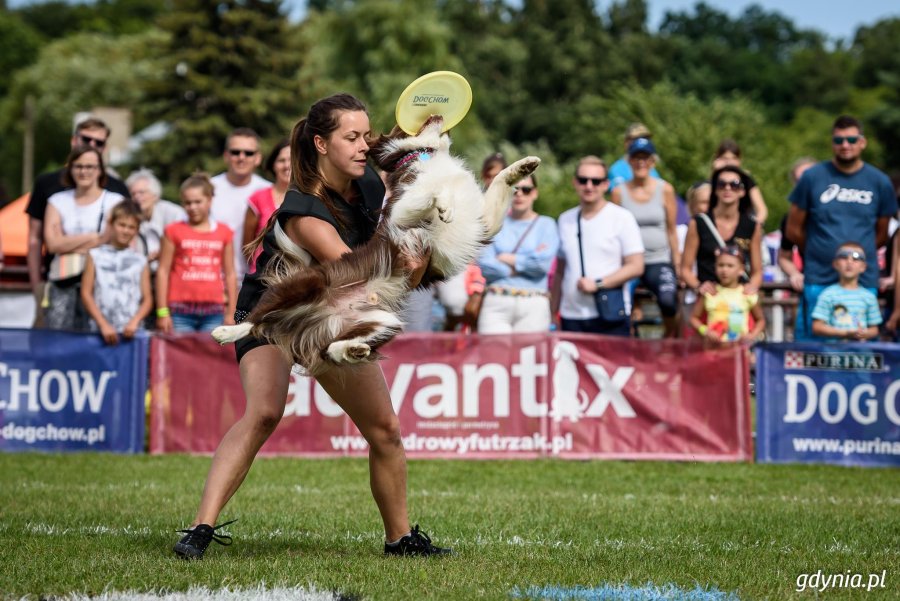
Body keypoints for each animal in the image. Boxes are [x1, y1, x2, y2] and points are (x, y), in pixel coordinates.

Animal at [211, 115, 540, 372]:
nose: (437, 114)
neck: (423, 157)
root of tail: (319, 315)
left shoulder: (485, 222)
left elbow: (499, 180)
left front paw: (524, 165)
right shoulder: (402, 212)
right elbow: (431, 191)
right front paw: (444, 203)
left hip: (383, 322)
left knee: (329, 349)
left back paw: (352, 350)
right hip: (309, 283)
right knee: (258, 317)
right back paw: (226, 331)